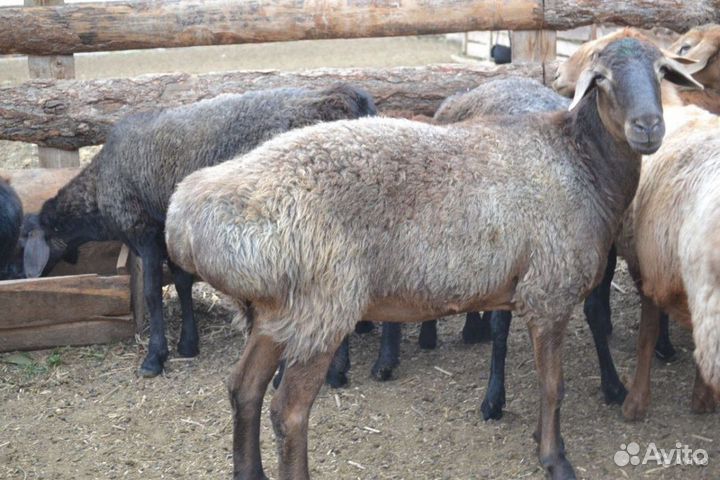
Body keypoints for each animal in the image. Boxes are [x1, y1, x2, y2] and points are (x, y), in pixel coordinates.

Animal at [21, 84, 377, 378]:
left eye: (19, 245)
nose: (22, 278)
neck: (98, 188)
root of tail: (338, 99)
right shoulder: (170, 234)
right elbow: (181, 284)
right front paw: (188, 345)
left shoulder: (144, 232)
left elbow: (152, 293)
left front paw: (154, 358)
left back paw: (333, 371)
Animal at [166, 39, 698, 479]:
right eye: (601, 78)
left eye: (661, 71)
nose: (648, 127)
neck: (578, 159)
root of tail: (187, 213)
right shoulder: (548, 292)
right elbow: (553, 386)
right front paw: (555, 459)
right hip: (323, 304)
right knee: (289, 412)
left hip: (278, 311)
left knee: (244, 389)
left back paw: (248, 471)